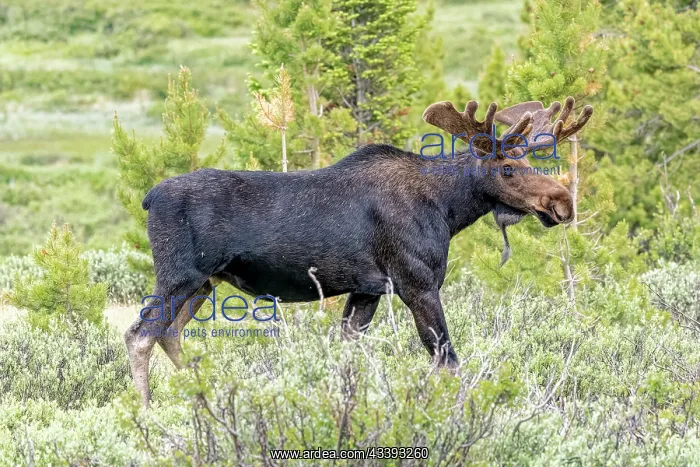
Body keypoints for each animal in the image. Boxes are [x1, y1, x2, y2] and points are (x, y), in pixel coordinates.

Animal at [124, 96, 593, 407]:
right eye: (509, 169)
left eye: (530, 162)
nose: (562, 204)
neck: (448, 209)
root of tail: (148, 198)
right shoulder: (416, 283)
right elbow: (448, 360)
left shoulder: (366, 290)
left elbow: (349, 353)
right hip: (178, 276)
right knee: (140, 335)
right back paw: (148, 411)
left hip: (202, 285)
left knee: (169, 333)